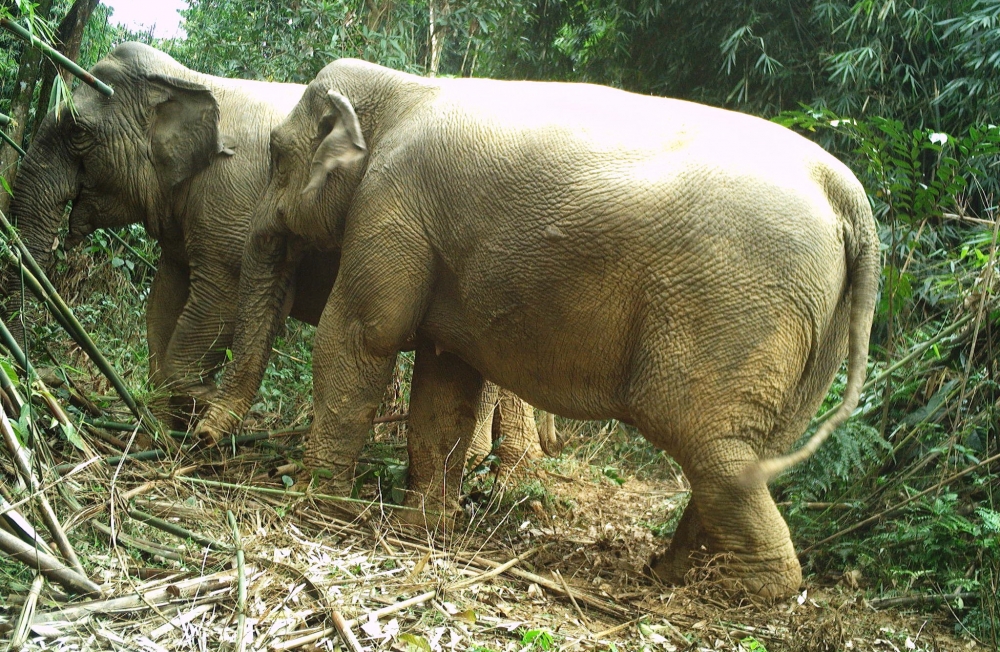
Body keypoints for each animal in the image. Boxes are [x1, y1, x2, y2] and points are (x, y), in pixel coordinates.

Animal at [3, 40, 544, 466]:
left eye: (77, 132)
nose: (30, 381)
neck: (192, 79)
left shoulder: (231, 204)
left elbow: (217, 304)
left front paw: (195, 411)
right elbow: (163, 304)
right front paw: (159, 434)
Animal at [197, 58, 884, 600]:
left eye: (276, 155)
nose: (200, 439)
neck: (405, 88)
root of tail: (851, 197)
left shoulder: (392, 204)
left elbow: (363, 333)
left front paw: (316, 504)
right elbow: (447, 378)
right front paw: (427, 527)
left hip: (735, 305)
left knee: (705, 440)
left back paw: (742, 591)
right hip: (811, 327)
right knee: (744, 452)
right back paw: (672, 574)